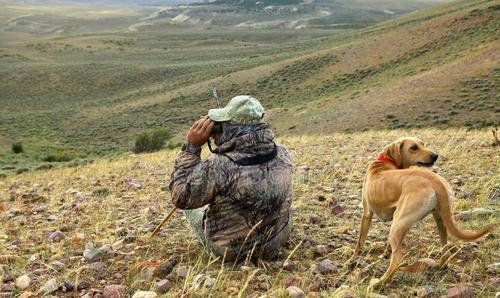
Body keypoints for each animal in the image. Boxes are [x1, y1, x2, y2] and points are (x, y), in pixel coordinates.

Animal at [350, 137, 494, 284]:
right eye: (414, 147)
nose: (435, 156)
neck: (384, 161)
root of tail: (436, 181)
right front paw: (385, 252)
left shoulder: (367, 214)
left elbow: (359, 242)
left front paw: (352, 260)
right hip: (439, 220)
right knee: (445, 249)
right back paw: (441, 265)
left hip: (398, 224)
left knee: (396, 259)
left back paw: (380, 281)